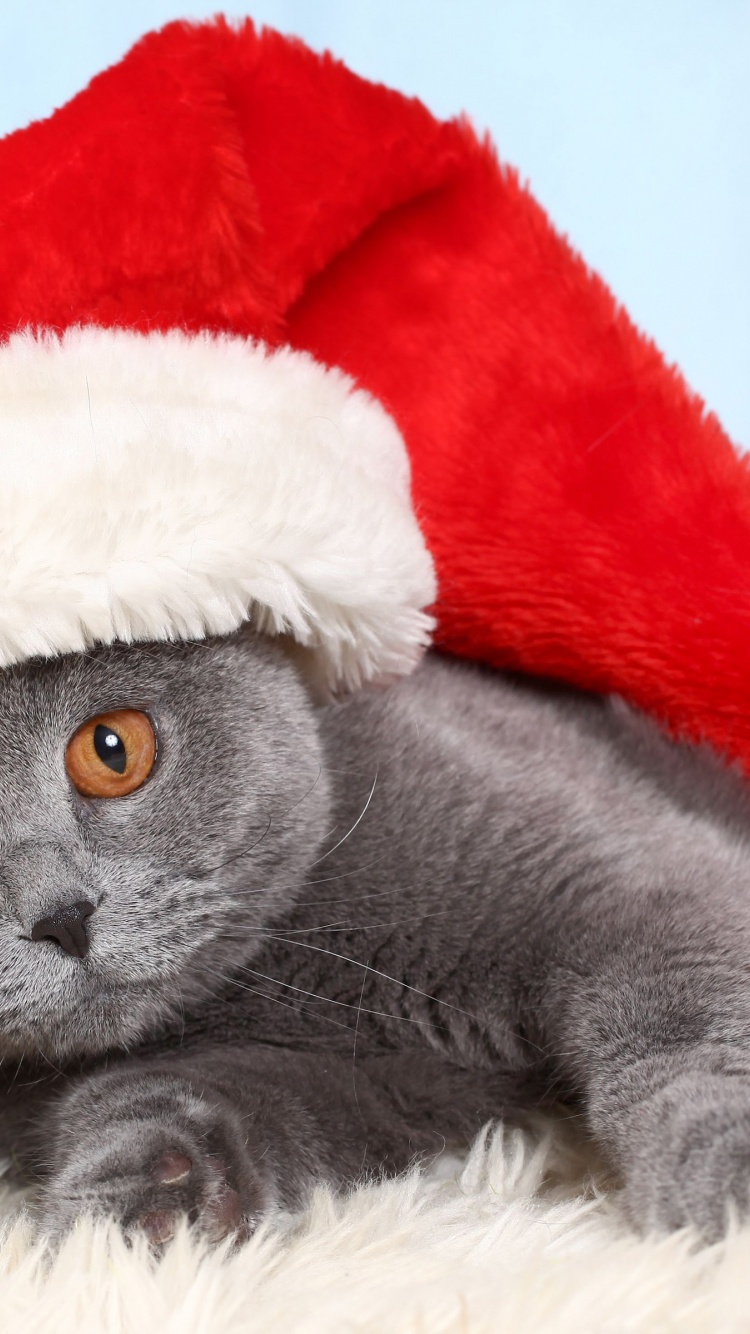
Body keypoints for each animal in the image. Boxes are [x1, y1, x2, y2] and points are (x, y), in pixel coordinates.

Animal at [1, 629, 747, 1243]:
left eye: (112, 749)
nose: (61, 917)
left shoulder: (636, 889)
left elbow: (685, 1025)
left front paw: (731, 1185)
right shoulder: (394, 1086)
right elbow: (219, 1097)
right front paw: (147, 1207)